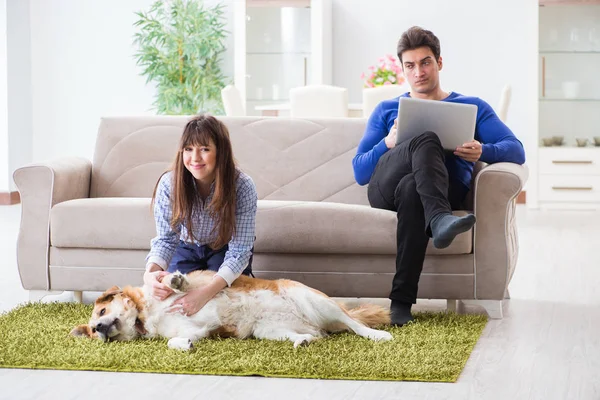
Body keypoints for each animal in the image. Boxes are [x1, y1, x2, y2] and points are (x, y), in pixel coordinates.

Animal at [71, 268, 394, 350]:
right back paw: (302, 340)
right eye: (94, 331)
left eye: (101, 313)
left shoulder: (204, 282)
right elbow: (176, 341)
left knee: (353, 322)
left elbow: (179, 284)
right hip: (267, 329)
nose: (99, 329)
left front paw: (175, 280)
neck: (146, 314)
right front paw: (184, 345)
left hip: (310, 298)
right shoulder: (195, 330)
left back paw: (377, 336)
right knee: (311, 335)